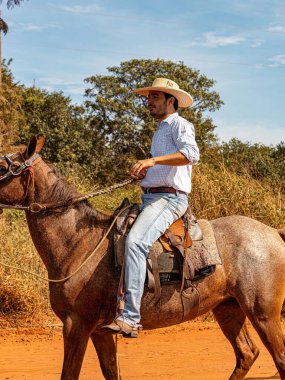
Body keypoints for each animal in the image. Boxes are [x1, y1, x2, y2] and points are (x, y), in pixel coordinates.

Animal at [0, 135, 284, 378]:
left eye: (3, 166)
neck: (77, 243)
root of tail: (273, 233)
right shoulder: (100, 331)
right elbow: (110, 372)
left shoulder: (76, 324)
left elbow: (70, 374)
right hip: (228, 308)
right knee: (247, 353)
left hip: (263, 314)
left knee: (277, 358)